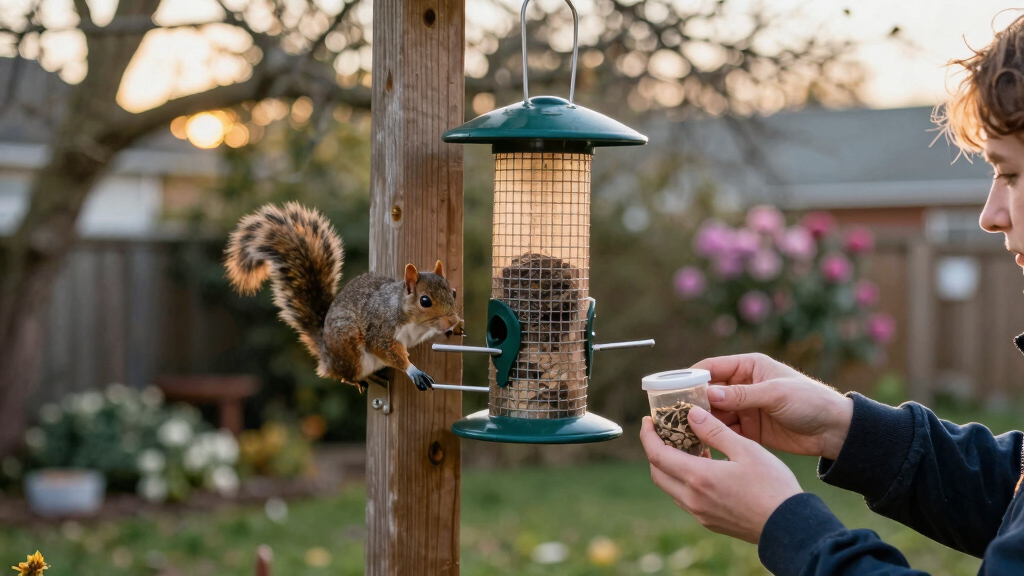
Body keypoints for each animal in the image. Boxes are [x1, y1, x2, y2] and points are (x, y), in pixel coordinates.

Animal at [223, 202, 464, 392]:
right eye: (425, 301)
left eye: (453, 292)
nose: (451, 320)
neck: (412, 319)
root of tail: (328, 358)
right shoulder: (381, 330)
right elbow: (389, 351)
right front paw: (414, 371)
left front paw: (458, 325)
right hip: (350, 350)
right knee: (343, 376)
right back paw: (362, 379)